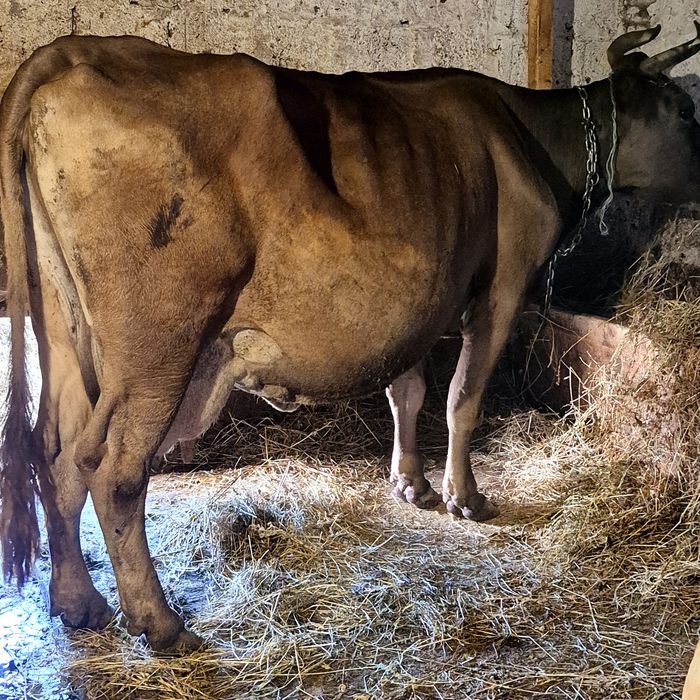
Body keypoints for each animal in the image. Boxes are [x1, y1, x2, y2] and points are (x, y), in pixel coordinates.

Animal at [1, 25, 699, 651]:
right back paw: (158, 621)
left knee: (54, 454)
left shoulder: (416, 304)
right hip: (158, 348)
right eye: (686, 110)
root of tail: (73, 51)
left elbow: (408, 391)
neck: (527, 132)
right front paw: (465, 498)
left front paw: (411, 483)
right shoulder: (500, 288)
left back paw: (77, 601)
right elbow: (463, 398)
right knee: (112, 472)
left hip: (61, 330)